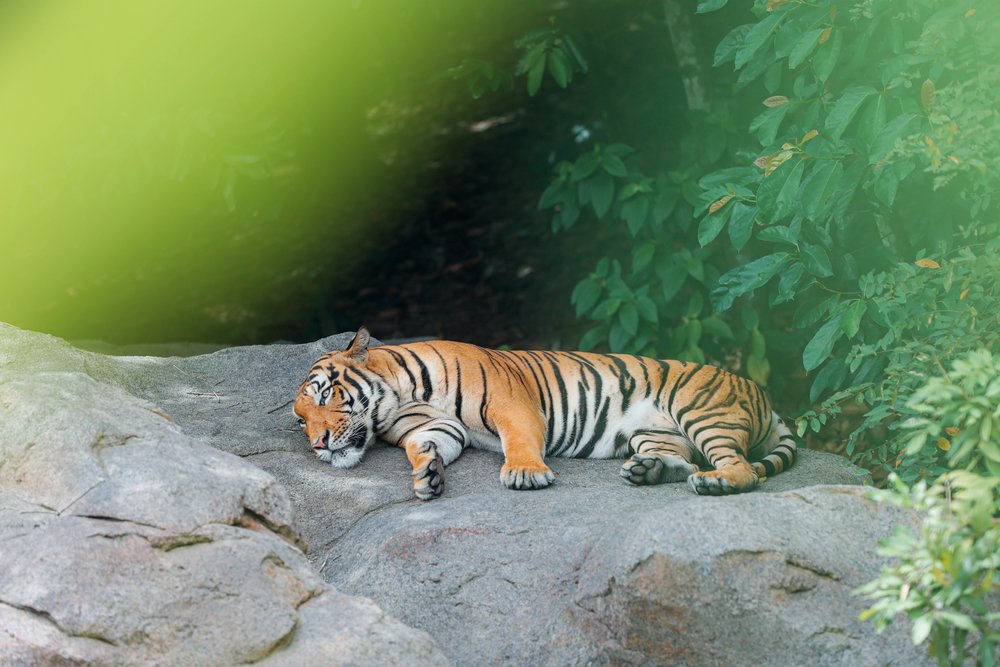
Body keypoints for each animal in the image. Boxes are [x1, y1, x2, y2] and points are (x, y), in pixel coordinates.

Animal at [292, 327, 797, 500]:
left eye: (325, 396)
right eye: (300, 421)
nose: (317, 444)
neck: (398, 397)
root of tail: (761, 393)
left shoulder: (511, 404)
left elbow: (519, 441)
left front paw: (525, 474)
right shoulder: (439, 426)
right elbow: (424, 446)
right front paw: (427, 477)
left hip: (702, 411)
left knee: (743, 467)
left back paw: (717, 483)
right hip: (654, 432)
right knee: (684, 459)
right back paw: (648, 471)